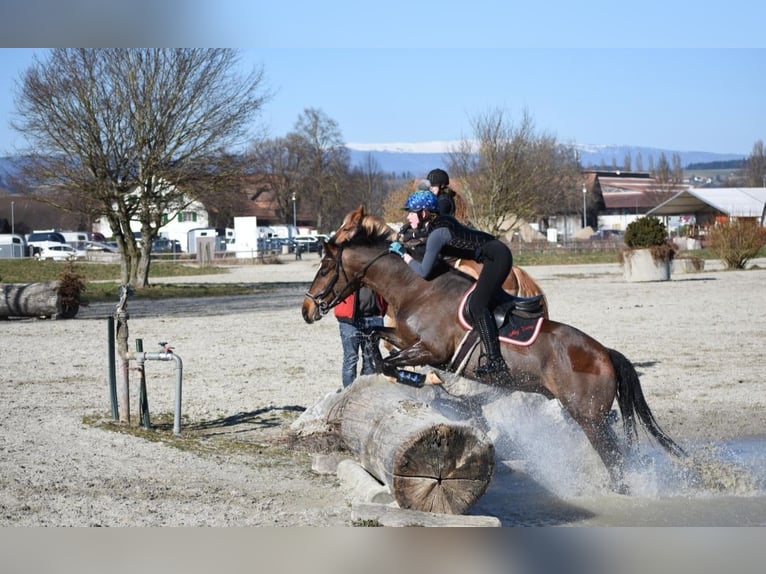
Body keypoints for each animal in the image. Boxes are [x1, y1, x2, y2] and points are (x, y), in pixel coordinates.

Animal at [304, 209, 688, 492]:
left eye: (325, 268)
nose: (307, 310)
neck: (418, 287)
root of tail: (605, 353)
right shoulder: (405, 337)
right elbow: (375, 340)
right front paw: (395, 374)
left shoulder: (432, 350)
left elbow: (391, 360)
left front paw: (416, 380)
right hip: (589, 414)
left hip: (588, 418)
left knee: (615, 458)